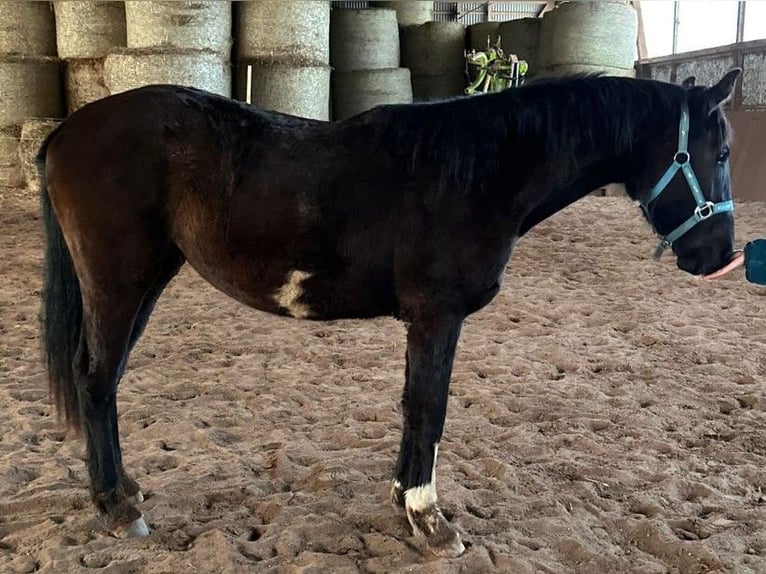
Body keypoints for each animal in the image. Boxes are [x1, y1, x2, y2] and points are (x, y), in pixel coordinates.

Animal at [39, 68, 740, 560]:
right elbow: (430, 407)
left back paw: (124, 492)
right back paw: (117, 508)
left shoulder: (424, 321)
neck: (479, 168)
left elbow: (412, 406)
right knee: (96, 380)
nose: (720, 257)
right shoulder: (438, 315)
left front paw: (404, 497)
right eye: (722, 152)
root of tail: (66, 131)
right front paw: (430, 521)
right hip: (120, 282)